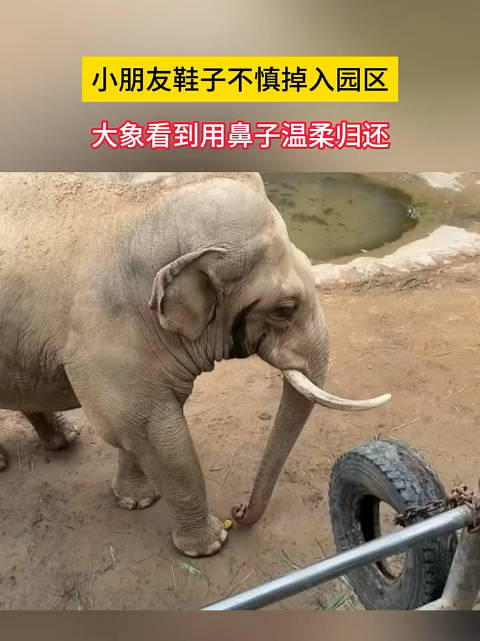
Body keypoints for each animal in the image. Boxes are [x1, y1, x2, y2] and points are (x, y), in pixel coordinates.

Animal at [0, 171, 390, 557]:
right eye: (285, 309)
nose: (239, 509)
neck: (152, 211)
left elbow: (135, 428)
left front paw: (138, 502)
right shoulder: (102, 337)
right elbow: (148, 429)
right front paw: (210, 546)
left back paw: (64, 439)